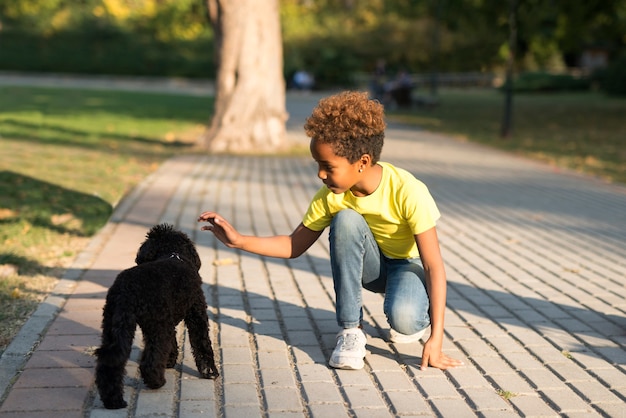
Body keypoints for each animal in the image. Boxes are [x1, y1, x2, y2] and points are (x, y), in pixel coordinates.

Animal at [94, 224, 218, 410]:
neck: (173, 253)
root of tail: (125, 290)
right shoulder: (196, 314)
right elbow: (203, 344)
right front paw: (210, 371)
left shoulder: (168, 320)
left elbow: (173, 344)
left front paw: (170, 362)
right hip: (157, 326)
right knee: (150, 361)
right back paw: (156, 382)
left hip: (116, 324)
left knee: (110, 361)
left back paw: (113, 401)